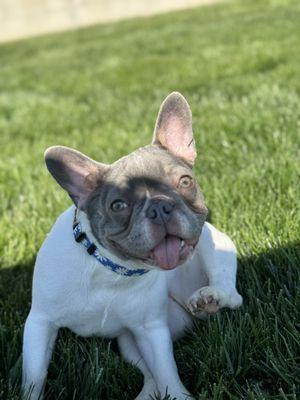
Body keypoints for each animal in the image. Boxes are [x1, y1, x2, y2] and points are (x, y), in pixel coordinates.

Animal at [22, 92, 243, 398]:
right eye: (118, 205)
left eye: (185, 181)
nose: (160, 207)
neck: (112, 270)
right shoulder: (40, 323)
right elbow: (34, 377)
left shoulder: (151, 331)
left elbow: (167, 371)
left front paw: (179, 395)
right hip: (128, 340)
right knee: (149, 375)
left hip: (216, 243)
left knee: (231, 292)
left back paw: (210, 299)